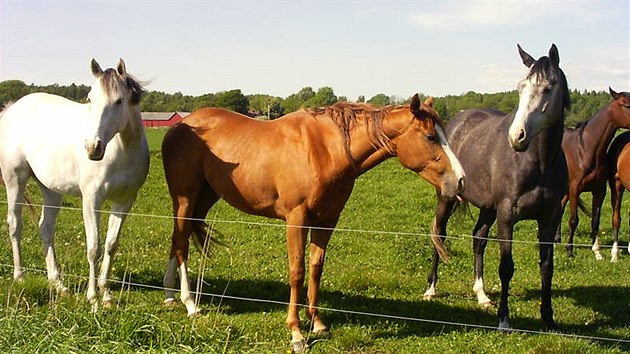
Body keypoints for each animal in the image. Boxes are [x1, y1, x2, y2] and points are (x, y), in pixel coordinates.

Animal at [0, 59, 150, 308]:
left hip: (51, 190)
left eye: (119, 100)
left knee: (46, 228)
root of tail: (11, 109)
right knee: (15, 224)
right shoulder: (91, 200)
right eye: (90, 98)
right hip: (15, 179)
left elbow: (111, 245)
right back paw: (19, 276)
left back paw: (58, 284)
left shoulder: (124, 202)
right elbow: (94, 248)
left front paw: (106, 293)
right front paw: (93, 298)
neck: (121, 151)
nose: (92, 148)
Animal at [162, 94, 470, 352]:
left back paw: (169, 294)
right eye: (430, 136)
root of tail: (182, 126)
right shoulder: (296, 220)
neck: (325, 150)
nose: (460, 181)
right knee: (181, 244)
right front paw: (296, 332)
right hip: (186, 198)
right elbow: (297, 271)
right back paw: (189, 303)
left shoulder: (327, 221)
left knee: (178, 240)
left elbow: (315, 269)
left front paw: (318, 323)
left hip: (205, 197)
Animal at [428, 43, 572, 330]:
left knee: (478, 239)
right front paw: (504, 320)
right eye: (520, 87)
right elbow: (506, 267)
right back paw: (431, 289)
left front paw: (548, 318)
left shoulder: (549, 218)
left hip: (488, 208)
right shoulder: (507, 215)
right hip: (447, 199)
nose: (517, 137)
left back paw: (482, 294)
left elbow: (547, 267)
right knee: (439, 234)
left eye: (548, 88)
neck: (538, 163)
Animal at [556, 88, 630, 260]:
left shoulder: (599, 191)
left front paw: (597, 252)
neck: (586, 150)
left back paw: (556, 239)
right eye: (626, 105)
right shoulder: (575, 190)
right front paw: (570, 251)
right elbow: (573, 220)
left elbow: (595, 220)